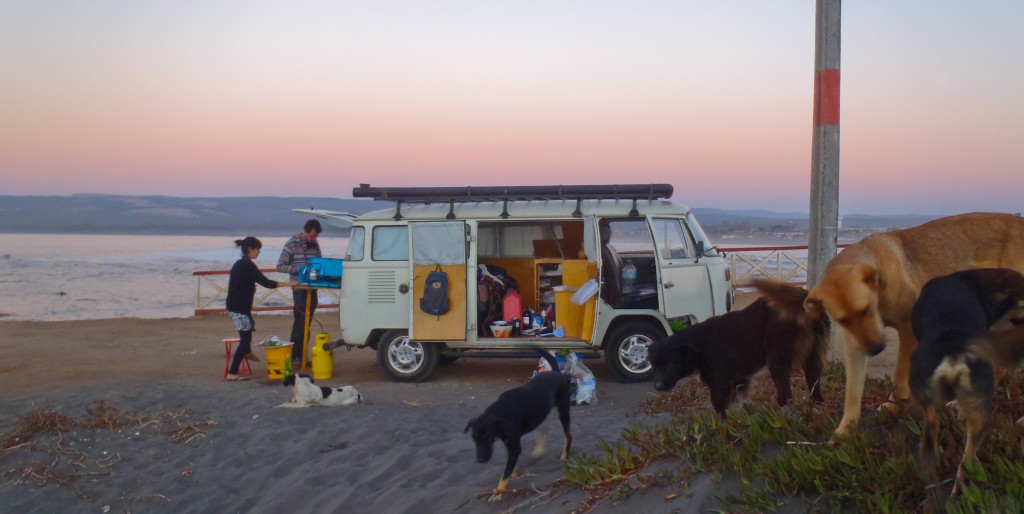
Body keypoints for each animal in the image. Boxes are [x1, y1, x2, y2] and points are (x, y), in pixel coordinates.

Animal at [651, 280, 827, 417]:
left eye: (672, 364)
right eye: (654, 366)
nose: (657, 386)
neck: (699, 344)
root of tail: (802, 298)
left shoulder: (720, 385)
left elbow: (719, 410)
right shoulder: (740, 381)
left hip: (777, 359)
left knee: (786, 395)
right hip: (812, 356)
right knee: (815, 387)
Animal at [806, 210, 1024, 436]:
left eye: (865, 309)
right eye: (843, 320)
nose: (875, 350)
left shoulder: (908, 329)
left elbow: (900, 376)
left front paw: (897, 404)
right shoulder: (855, 345)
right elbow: (853, 391)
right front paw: (845, 429)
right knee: (998, 367)